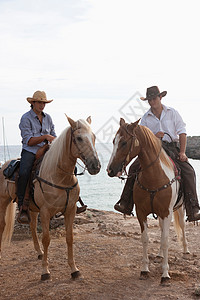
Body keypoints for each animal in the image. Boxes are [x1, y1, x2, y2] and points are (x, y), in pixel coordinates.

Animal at [0, 116, 100, 280]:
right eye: (79, 138)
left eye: (94, 137)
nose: (95, 166)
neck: (59, 176)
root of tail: (5, 165)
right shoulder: (46, 211)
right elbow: (46, 239)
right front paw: (45, 271)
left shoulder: (70, 210)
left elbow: (69, 238)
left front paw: (74, 269)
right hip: (3, 201)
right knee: (3, 225)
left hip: (32, 209)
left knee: (32, 226)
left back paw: (39, 252)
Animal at [107, 118, 188, 284]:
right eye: (113, 141)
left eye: (124, 142)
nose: (110, 170)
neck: (154, 177)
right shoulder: (141, 212)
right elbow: (145, 239)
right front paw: (144, 269)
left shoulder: (166, 212)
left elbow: (165, 240)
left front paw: (165, 274)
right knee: (162, 229)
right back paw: (160, 255)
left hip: (179, 209)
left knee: (182, 226)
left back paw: (185, 250)